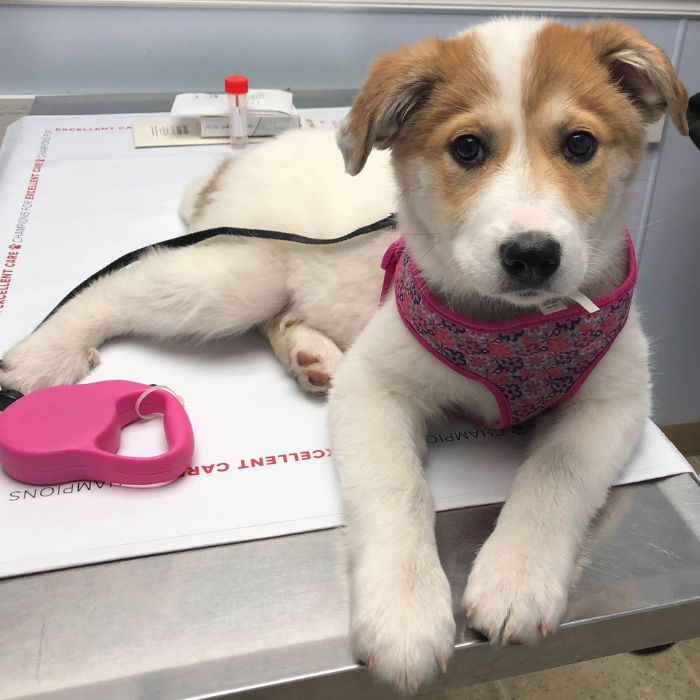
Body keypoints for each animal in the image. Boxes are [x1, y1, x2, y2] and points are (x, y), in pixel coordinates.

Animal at [0, 16, 688, 696]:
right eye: (467, 149)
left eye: (579, 144)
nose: (531, 255)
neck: (510, 329)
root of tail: (239, 159)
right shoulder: (374, 386)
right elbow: (397, 487)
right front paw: (405, 612)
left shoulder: (616, 400)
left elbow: (557, 475)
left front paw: (518, 577)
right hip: (239, 273)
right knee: (126, 282)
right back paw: (44, 353)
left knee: (277, 313)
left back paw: (309, 353)